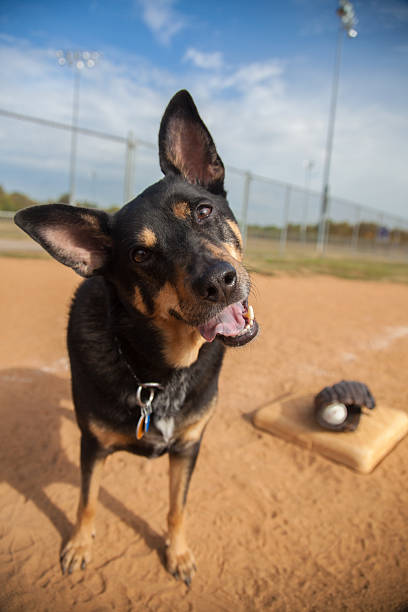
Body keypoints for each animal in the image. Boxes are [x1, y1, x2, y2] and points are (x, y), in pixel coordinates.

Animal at [15, 89, 260, 584]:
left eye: (204, 211)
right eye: (141, 255)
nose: (219, 281)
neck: (158, 373)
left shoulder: (188, 446)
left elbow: (177, 508)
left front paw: (178, 554)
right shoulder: (93, 445)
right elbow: (87, 500)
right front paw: (78, 546)